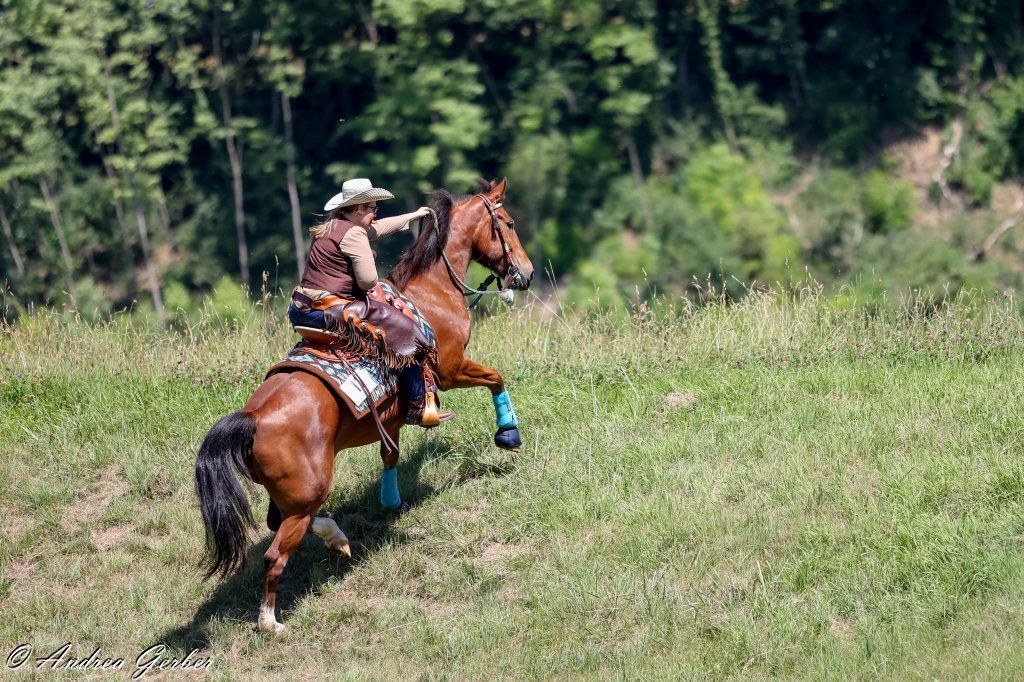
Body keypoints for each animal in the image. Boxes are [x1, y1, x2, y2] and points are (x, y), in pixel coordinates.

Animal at [194, 178, 534, 632]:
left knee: (278, 523)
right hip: (308, 489)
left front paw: (391, 501)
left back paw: (336, 538)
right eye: (509, 223)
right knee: (275, 553)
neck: (432, 291)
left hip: (289, 494)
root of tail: (253, 417)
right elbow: (496, 377)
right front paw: (508, 434)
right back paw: (270, 621)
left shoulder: (391, 419)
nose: (527, 273)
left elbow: (390, 455)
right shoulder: (450, 368)